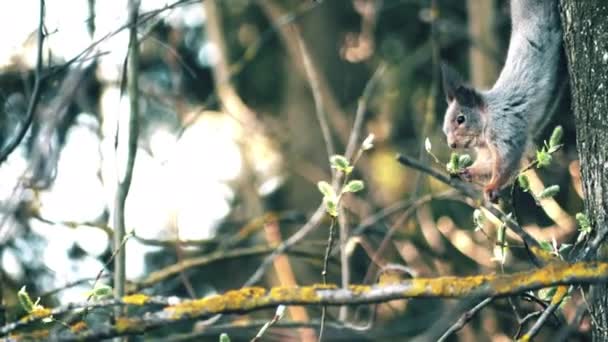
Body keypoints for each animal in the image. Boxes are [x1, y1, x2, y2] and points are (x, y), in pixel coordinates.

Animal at [440, 0, 564, 202]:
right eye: (445, 129)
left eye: (461, 119)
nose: (452, 145)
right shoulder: (486, 149)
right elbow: (488, 164)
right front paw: (467, 171)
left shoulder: (505, 128)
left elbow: (505, 162)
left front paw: (492, 187)